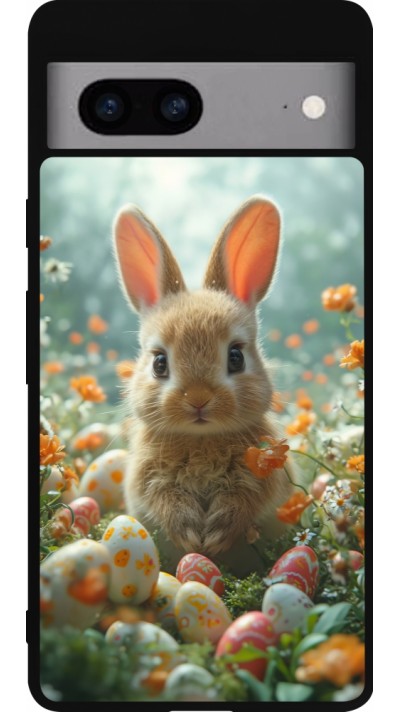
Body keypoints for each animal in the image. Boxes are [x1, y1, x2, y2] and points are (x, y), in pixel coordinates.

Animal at [113, 195, 293, 570]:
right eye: (159, 363)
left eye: (236, 357)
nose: (198, 399)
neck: (201, 439)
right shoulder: (147, 479)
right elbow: (164, 500)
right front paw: (190, 534)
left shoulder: (263, 475)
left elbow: (244, 500)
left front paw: (216, 535)